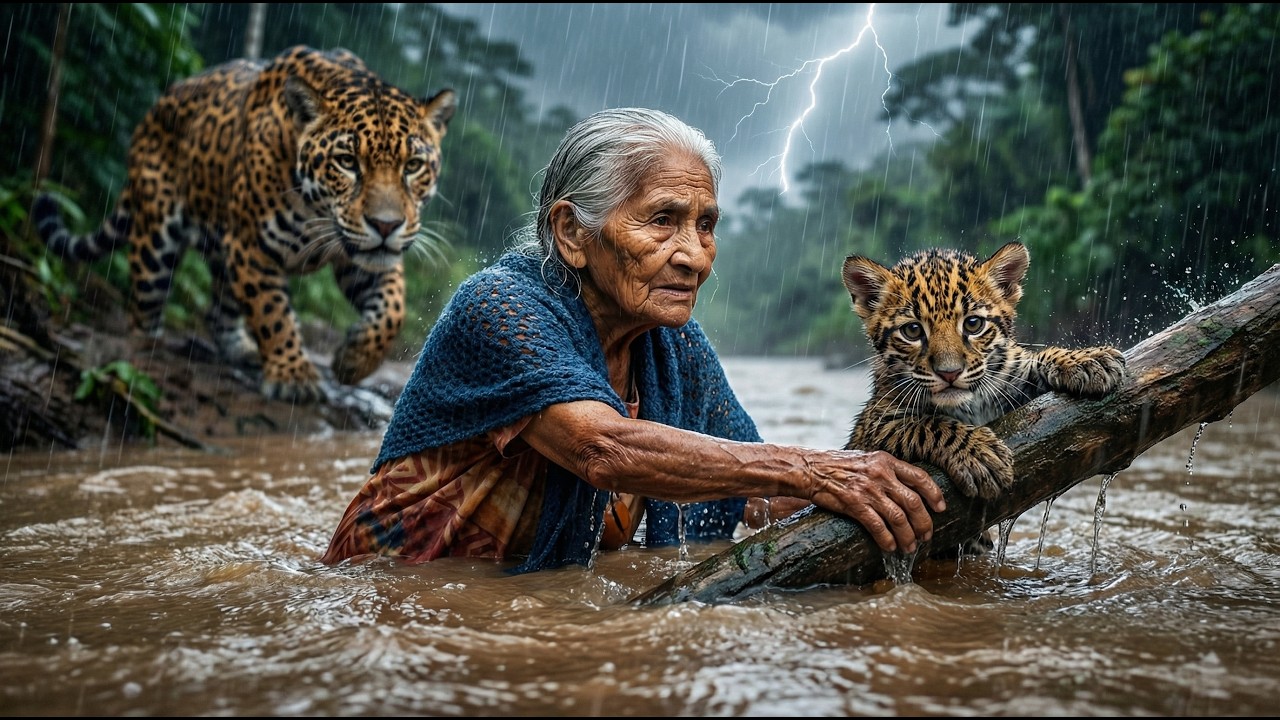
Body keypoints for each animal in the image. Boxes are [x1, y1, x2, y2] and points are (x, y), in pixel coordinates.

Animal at [33, 45, 457, 403]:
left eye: (412, 166)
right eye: (347, 162)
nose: (386, 225)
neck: (316, 210)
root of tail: (154, 111)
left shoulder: (360, 258)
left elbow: (393, 309)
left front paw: (352, 361)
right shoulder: (251, 246)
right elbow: (272, 312)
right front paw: (293, 376)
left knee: (219, 308)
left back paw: (241, 350)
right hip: (157, 234)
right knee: (144, 307)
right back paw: (144, 354)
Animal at [841, 241, 1126, 552]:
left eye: (973, 324)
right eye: (912, 330)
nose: (950, 373)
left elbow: (1033, 361)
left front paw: (1087, 360)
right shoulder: (875, 425)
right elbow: (929, 424)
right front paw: (978, 455)